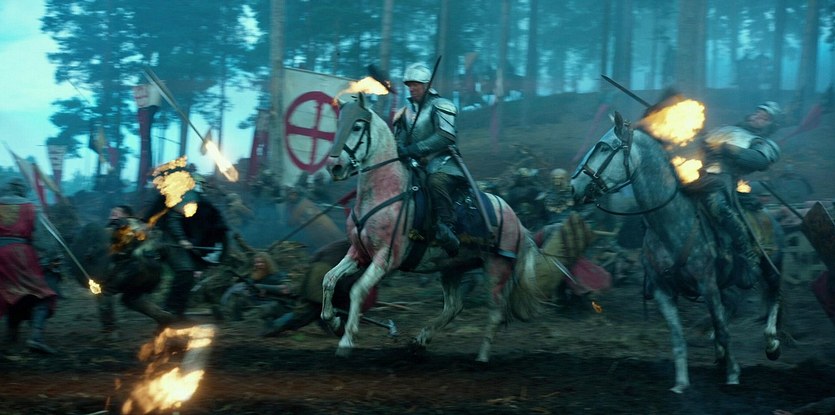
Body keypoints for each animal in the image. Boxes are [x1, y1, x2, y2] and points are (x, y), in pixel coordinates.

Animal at [322, 93, 562, 361]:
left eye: (357, 126)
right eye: (338, 124)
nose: (335, 167)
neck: (384, 191)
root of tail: (515, 218)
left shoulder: (386, 259)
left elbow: (357, 290)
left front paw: (346, 340)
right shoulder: (359, 252)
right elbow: (328, 279)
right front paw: (332, 320)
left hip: (496, 267)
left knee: (495, 311)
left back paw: (481, 357)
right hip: (451, 267)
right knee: (454, 306)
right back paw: (420, 340)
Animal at [570, 111, 783, 393]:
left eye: (604, 147)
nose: (574, 186)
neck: (669, 221)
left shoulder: (707, 285)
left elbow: (723, 328)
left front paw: (733, 375)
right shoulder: (663, 290)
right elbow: (678, 335)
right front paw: (681, 384)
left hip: (768, 265)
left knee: (773, 291)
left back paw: (771, 343)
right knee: (732, 305)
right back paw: (719, 353)